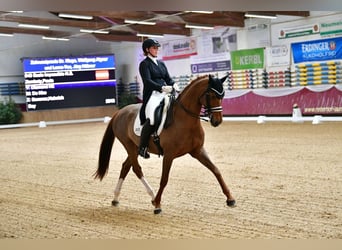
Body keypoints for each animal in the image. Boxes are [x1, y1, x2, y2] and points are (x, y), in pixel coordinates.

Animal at [95, 74, 236, 213]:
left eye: (222, 96)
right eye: (211, 95)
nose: (217, 121)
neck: (185, 120)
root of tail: (119, 112)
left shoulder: (198, 151)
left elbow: (216, 170)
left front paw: (230, 199)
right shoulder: (169, 155)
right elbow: (164, 179)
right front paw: (158, 204)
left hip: (135, 148)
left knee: (125, 167)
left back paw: (116, 198)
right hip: (128, 145)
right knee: (137, 169)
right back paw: (152, 197)